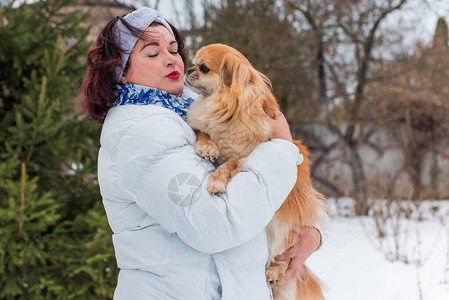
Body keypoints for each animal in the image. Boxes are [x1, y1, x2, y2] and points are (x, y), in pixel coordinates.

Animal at [185, 43, 328, 298]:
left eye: (203, 68)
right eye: (193, 64)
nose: (188, 69)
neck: (221, 107)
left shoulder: (245, 156)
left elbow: (228, 164)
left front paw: (216, 181)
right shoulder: (204, 124)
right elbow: (203, 132)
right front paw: (206, 147)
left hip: (284, 230)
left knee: (283, 260)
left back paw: (274, 272)